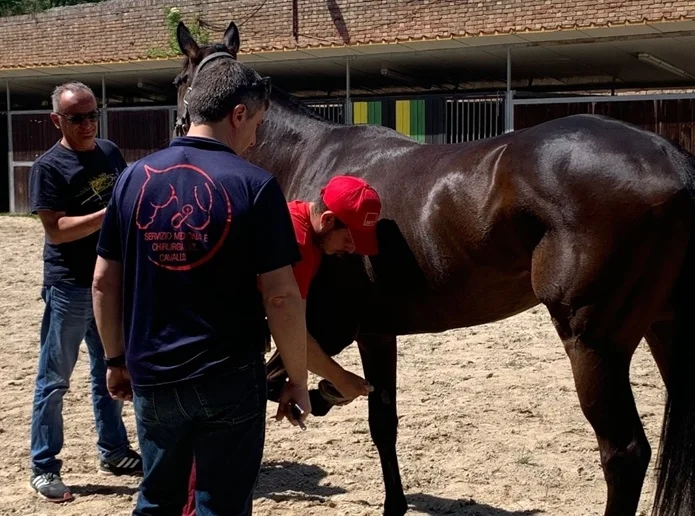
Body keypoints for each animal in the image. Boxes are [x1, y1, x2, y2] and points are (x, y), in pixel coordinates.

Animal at [172, 20, 695, 516]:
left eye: (178, 81)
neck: (309, 160)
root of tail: (673, 161)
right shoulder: (375, 330)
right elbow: (382, 419)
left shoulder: (325, 324)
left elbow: (276, 383)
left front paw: (321, 394)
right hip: (664, 328)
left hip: (592, 343)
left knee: (624, 454)